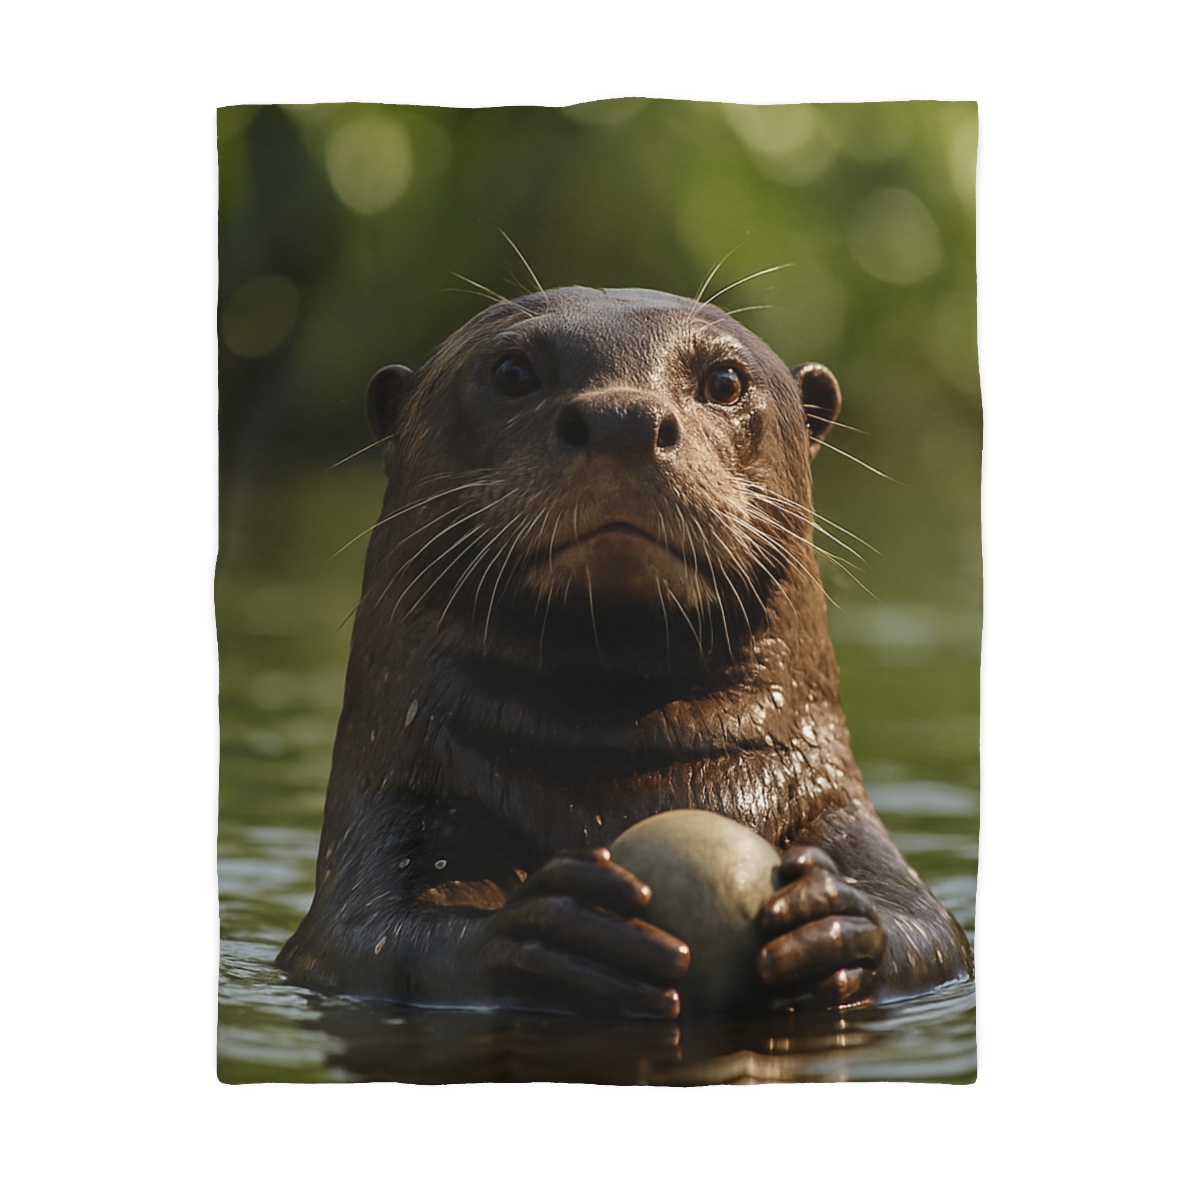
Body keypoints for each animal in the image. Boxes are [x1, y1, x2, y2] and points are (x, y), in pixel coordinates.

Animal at [278, 286, 972, 1018]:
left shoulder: (836, 812)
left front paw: (828, 921)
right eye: (512, 372)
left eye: (724, 381)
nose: (624, 419)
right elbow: (375, 939)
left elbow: (929, 933)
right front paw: (559, 930)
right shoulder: (392, 824)